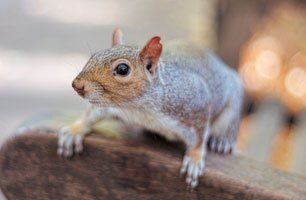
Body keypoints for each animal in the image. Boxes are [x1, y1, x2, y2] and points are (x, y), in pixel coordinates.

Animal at [57, 28, 244, 188]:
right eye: (94, 55)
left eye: (122, 69)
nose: (77, 85)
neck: (139, 108)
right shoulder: (113, 106)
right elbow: (92, 113)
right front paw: (74, 131)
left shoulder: (195, 103)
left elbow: (199, 135)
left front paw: (195, 159)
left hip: (232, 104)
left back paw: (223, 141)